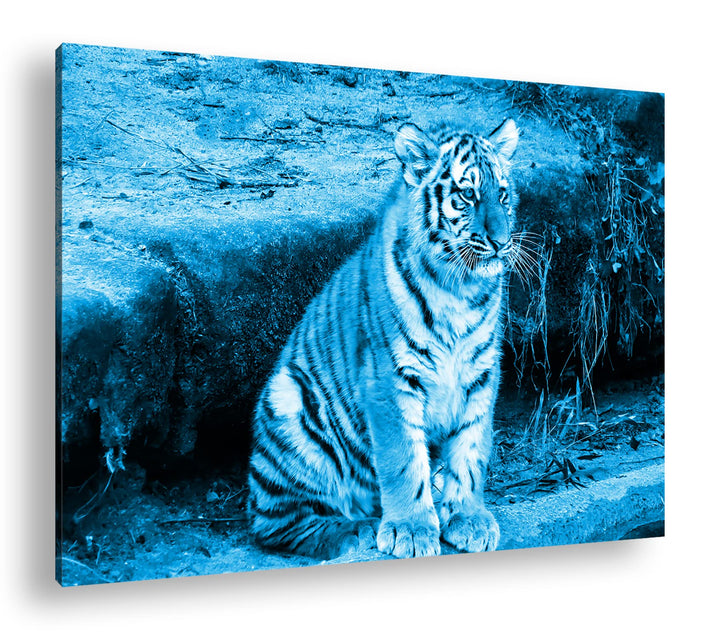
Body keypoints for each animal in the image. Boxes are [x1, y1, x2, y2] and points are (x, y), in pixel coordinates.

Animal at [247, 118, 520, 560]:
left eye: (504, 194)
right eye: (467, 194)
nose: (501, 242)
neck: (461, 287)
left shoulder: (480, 373)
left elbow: (470, 449)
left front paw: (468, 519)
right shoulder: (390, 379)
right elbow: (402, 458)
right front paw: (411, 530)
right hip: (289, 398)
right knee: (273, 521)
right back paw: (353, 531)